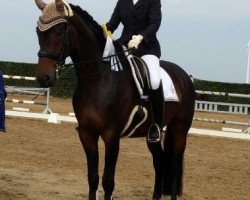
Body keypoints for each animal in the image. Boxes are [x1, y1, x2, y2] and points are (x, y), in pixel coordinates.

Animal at [34, 0, 196, 199]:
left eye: (59, 31)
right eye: (38, 31)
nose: (44, 78)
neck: (98, 78)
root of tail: (184, 76)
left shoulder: (111, 135)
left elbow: (108, 181)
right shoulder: (87, 133)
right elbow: (93, 178)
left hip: (180, 129)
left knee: (173, 167)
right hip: (151, 135)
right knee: (159, 162)